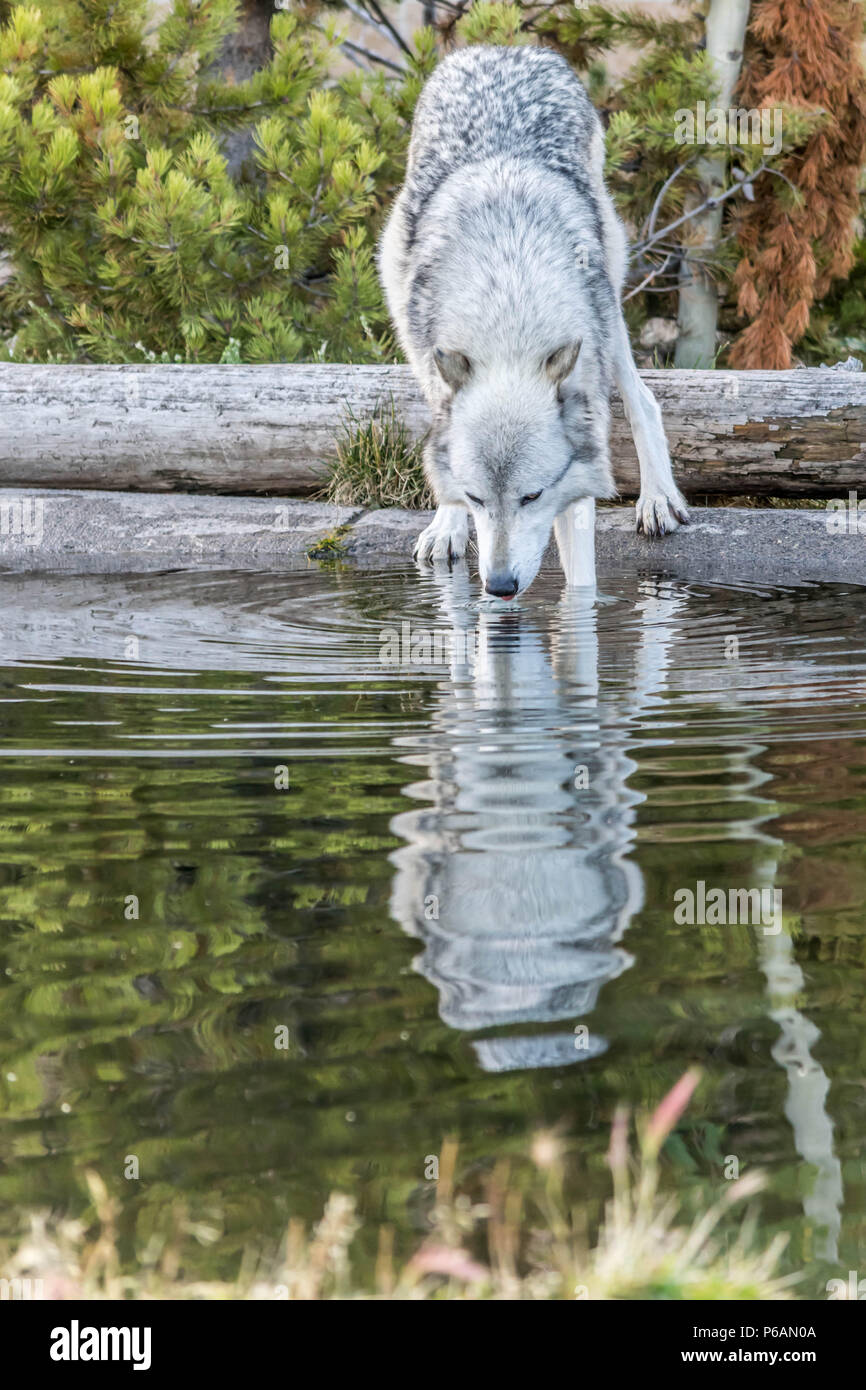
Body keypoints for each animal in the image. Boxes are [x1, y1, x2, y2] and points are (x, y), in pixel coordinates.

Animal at [378, 42, 692, 597]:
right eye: (479, 499)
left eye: (532, 496)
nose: (501, 585)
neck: (508, 310)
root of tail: (503, 49)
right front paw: (454, 527)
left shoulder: (577, 469)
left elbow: (581, 583)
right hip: (400, 295)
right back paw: (445, 529)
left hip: (609, 298)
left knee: (642, 398)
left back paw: (657, 498)